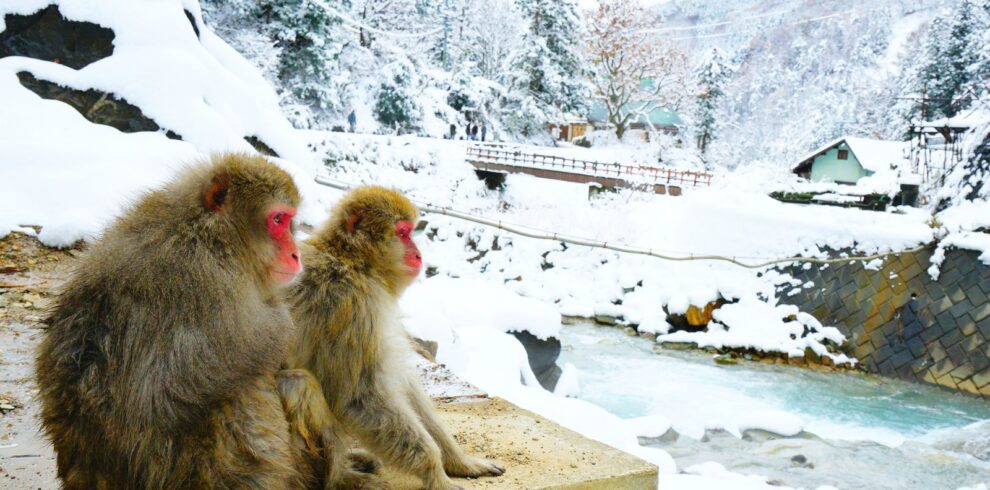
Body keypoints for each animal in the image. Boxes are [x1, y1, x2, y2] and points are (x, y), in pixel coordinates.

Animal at [34, 153, 343, 489]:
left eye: (289, 221)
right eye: (277, 220)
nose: (296, 254)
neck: (215, 236)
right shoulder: (206, 279)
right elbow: (175, 385)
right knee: (245, 390)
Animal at [286, 186, 505, 490]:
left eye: (411, 232)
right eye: (403, 233)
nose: (418, 254)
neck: (353, 262)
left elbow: (403, 383)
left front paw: (458, 461)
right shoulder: (351, 304)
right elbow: (358, 398)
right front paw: (437, 476)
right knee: (298, 384)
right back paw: (341, 478)